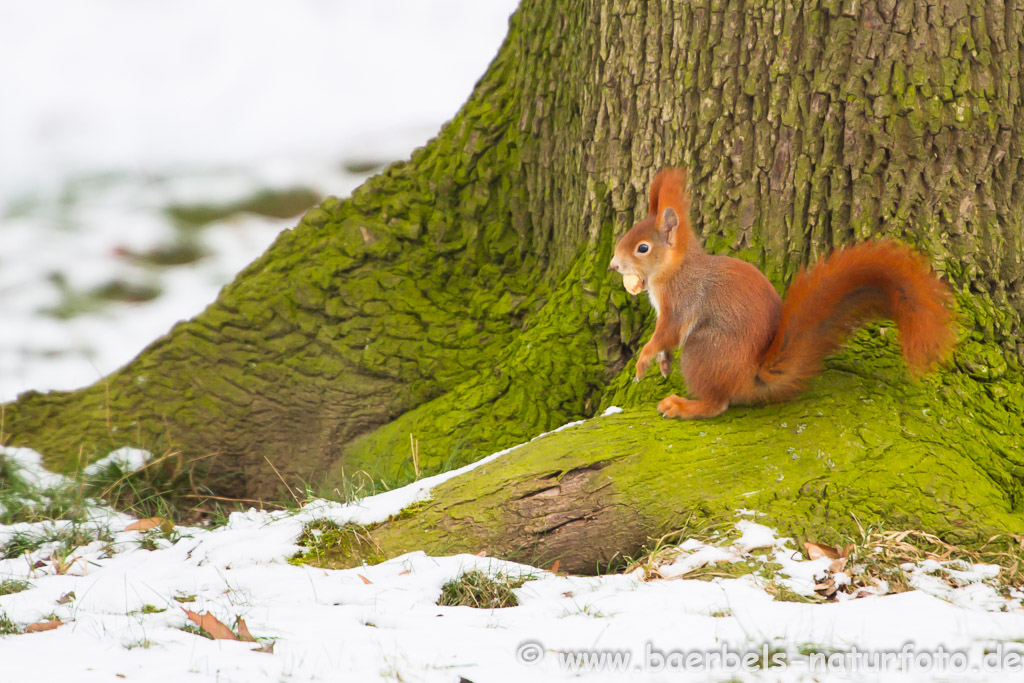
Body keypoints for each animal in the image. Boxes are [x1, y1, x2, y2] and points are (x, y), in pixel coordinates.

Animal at [606, 167, 950, 419]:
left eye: (642, 248)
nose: (613, 265)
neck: (672, 270)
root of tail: (751, 375)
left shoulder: (681, 301)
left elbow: (668, 333)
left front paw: (644, 359)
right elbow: (665, 340)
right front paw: (662, 362)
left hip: (703, 350)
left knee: (717, 404)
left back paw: (683, 406)